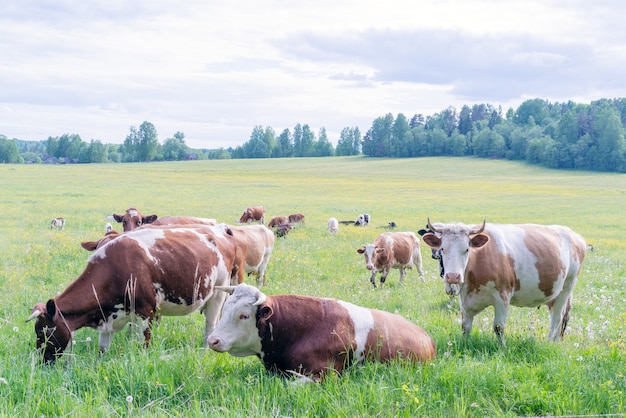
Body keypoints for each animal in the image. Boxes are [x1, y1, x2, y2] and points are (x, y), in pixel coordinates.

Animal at [26, 224, 238, 364]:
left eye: (46, 331)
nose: (43, 361)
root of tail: (221, 229)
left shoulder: (147, 311)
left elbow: (144, 344)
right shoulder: (109, 316)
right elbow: (102, 349)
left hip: (218, 291)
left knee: (210, 325)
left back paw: (205, 350)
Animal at [420, 220, 584, 344]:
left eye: (466, 249)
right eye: (442, 249)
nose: (453, 276)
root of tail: (574, 235)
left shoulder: (503, 296)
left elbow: (498, 327)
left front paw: (502, 348)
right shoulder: (465, 299)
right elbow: (465, 327)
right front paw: (464, 344)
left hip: (567, 287)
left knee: (557, 317)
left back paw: (549, 342)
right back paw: (556, 341)